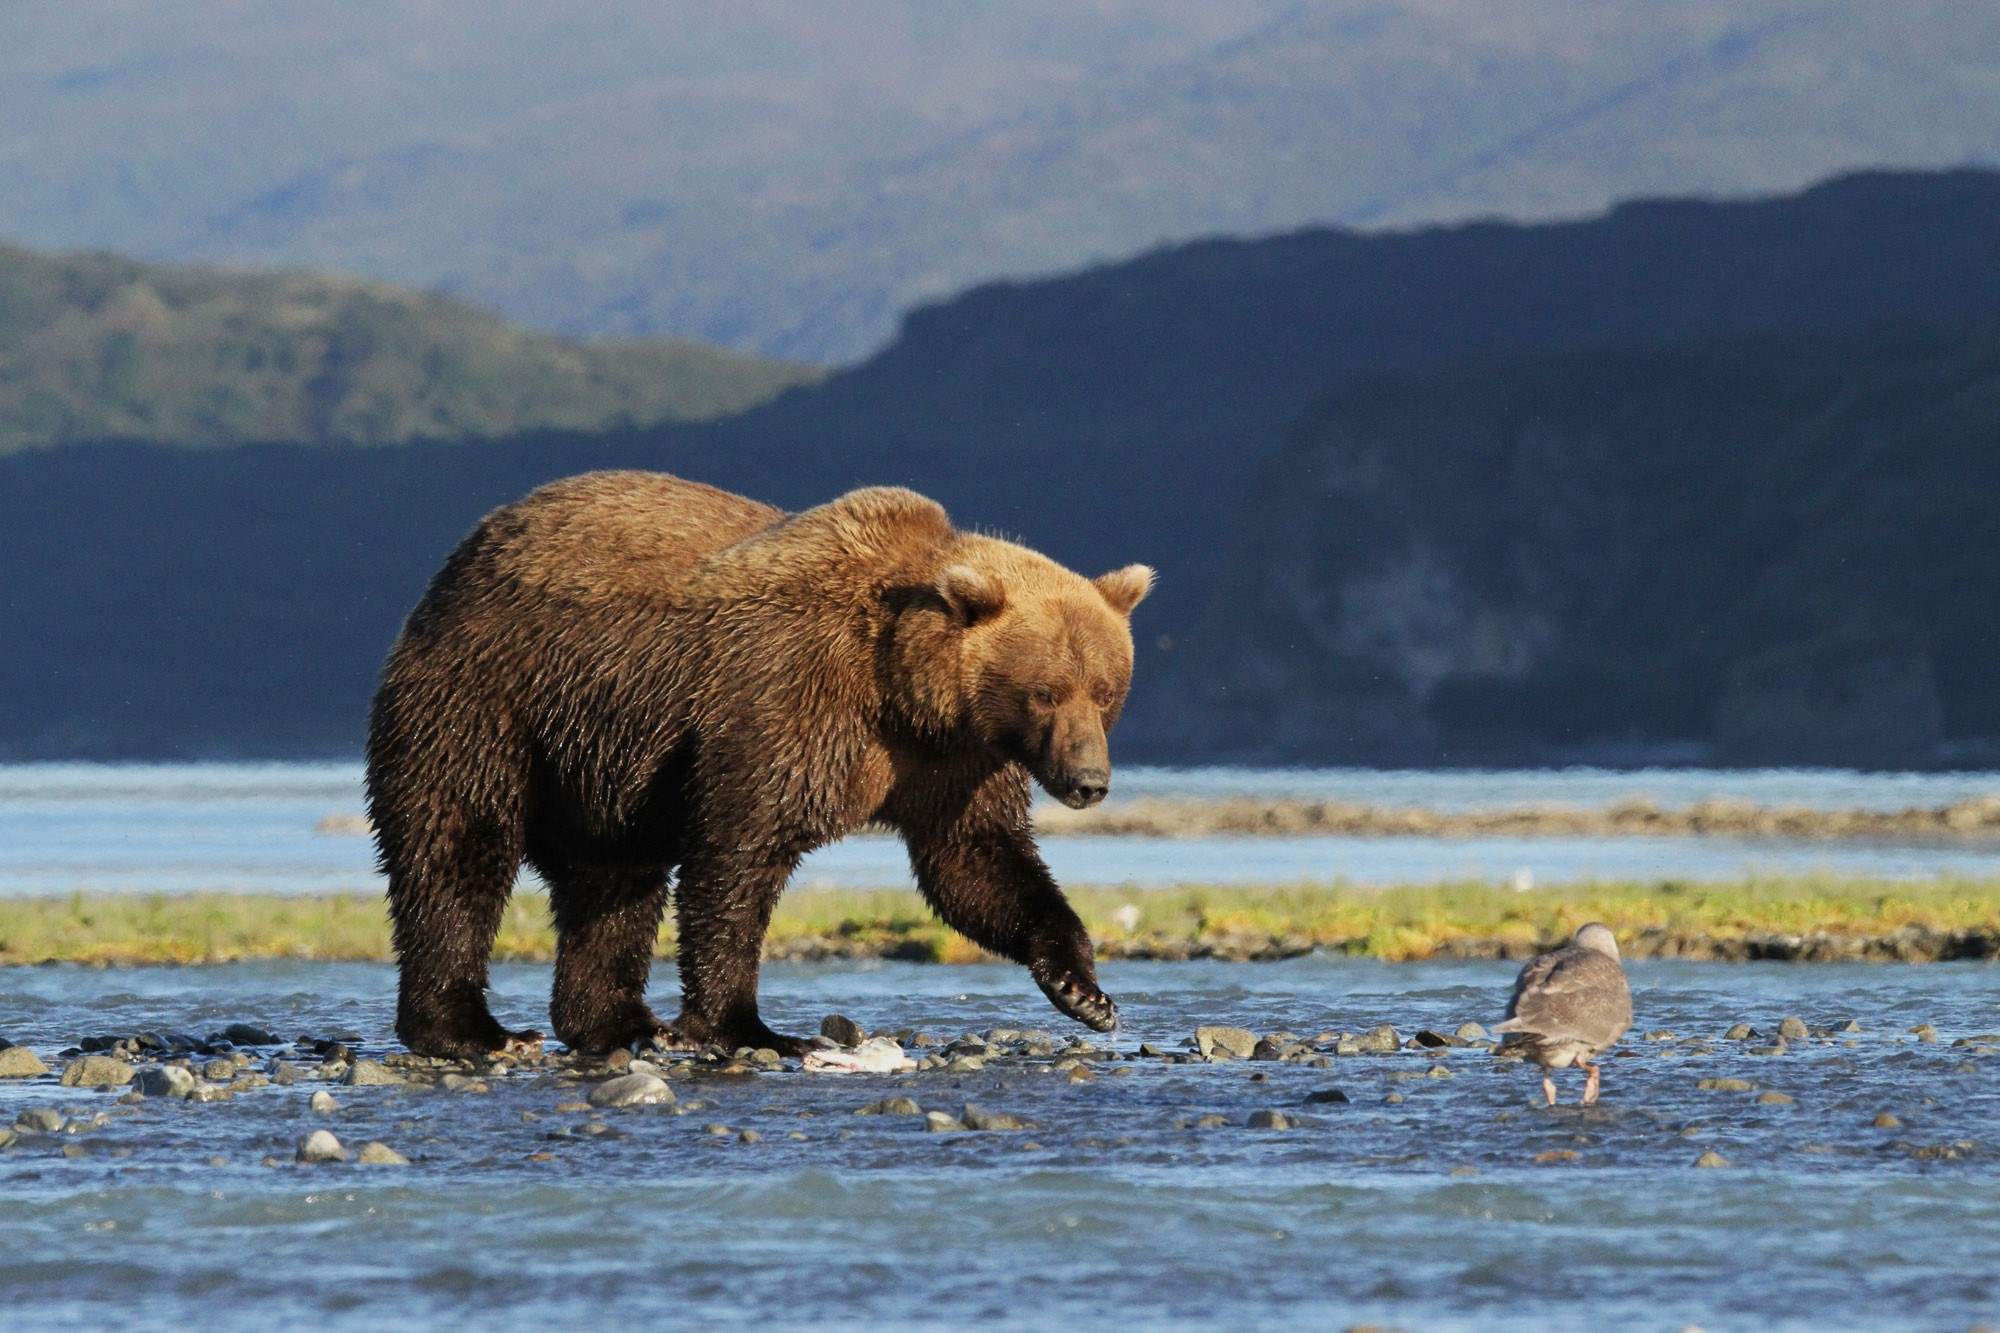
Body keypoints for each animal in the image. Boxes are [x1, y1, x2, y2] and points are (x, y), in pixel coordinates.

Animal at [366, 472, 1152, 1056]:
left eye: (1106, 691)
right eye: (1045, 690)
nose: (1089, 782)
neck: (903, 694)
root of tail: (462, 559)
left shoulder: (957, 764)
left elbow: (977, 864)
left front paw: (1086, 991)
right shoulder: (784, 700)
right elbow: (740, 849)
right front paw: (752, 1027)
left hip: (606, 764)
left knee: (613, 882)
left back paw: (620, 1023)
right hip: (492, 701)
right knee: (459, 845)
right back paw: (471, 1028)